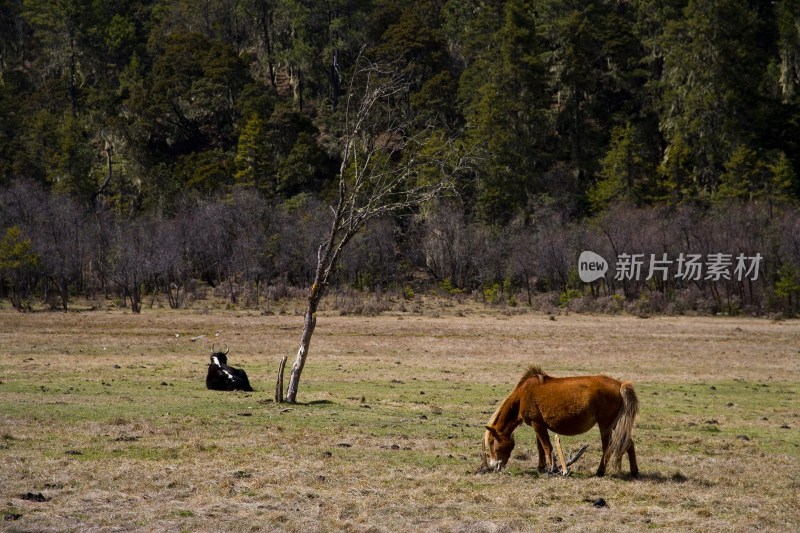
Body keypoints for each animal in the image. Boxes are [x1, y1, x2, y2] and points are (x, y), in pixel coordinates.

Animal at [482, 364, 636, 476]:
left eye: (492, 442)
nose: (493, 466)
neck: (522, 395)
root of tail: (620, 384)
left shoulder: (537, 424)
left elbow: (546, 447)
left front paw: (551, 469)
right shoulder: (538, 425)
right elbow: (540, 447)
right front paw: (541, 467)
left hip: (606, 424)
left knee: (607, 447)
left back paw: (600, 471)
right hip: (614, 424)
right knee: (628, 443)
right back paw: (634, 471)